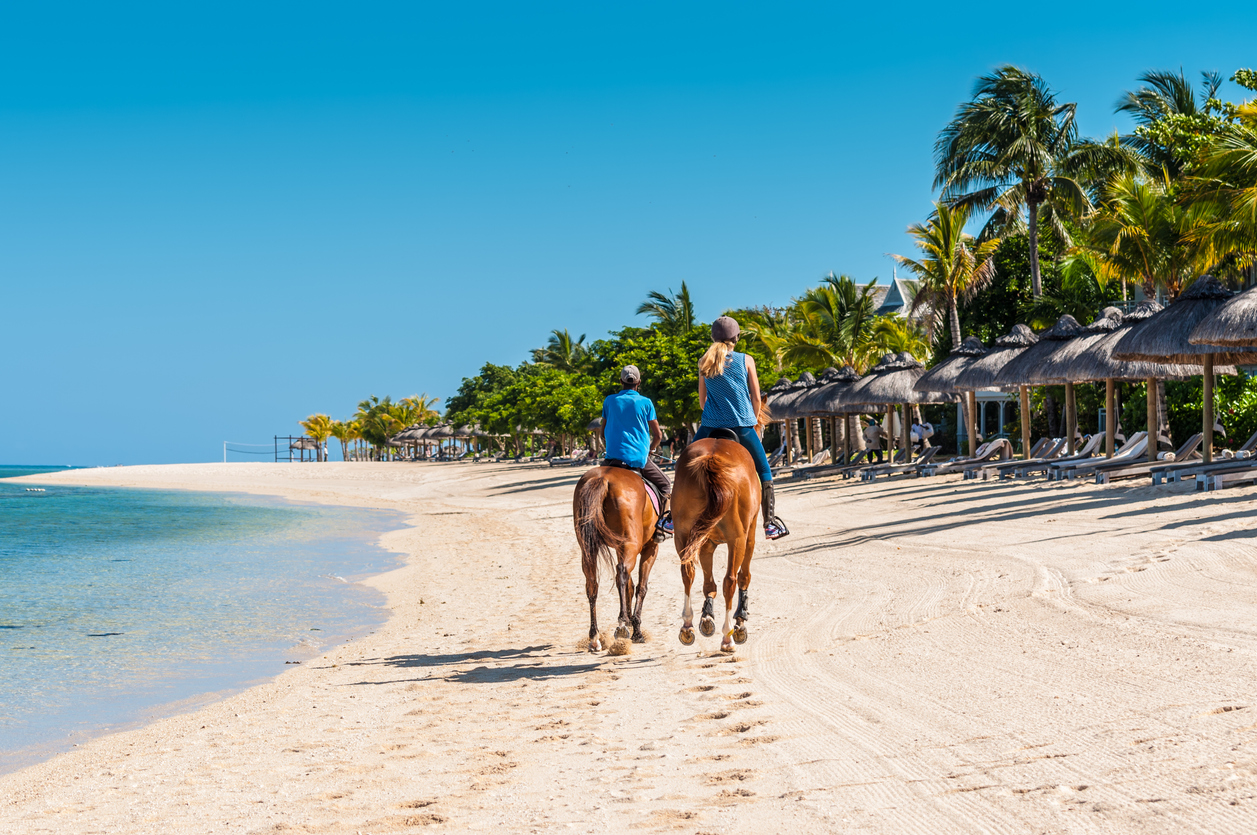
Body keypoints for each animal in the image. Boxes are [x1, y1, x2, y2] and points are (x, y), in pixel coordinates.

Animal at [573, 462, 663, 653]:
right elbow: (641, 587)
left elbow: (629, 586)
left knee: (593, 584)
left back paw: (595, 637)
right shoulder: (650, 548)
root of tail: (602, 478)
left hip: (589, 548)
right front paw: (635, 628)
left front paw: (630, 621)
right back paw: (622, 625)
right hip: (631, 544)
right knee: (622, 574)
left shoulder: (620, 548)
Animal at [673, 432, 759, 653]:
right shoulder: (749, 536)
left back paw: (687, 625)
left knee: (687, 572)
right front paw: (740, 619)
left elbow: (708, 583)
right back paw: (728, 636)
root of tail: (712, 458)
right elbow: (744, 576)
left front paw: (706, 616)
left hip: (683, 535)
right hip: (737, 539)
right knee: (730, 580)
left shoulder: (705, 543)